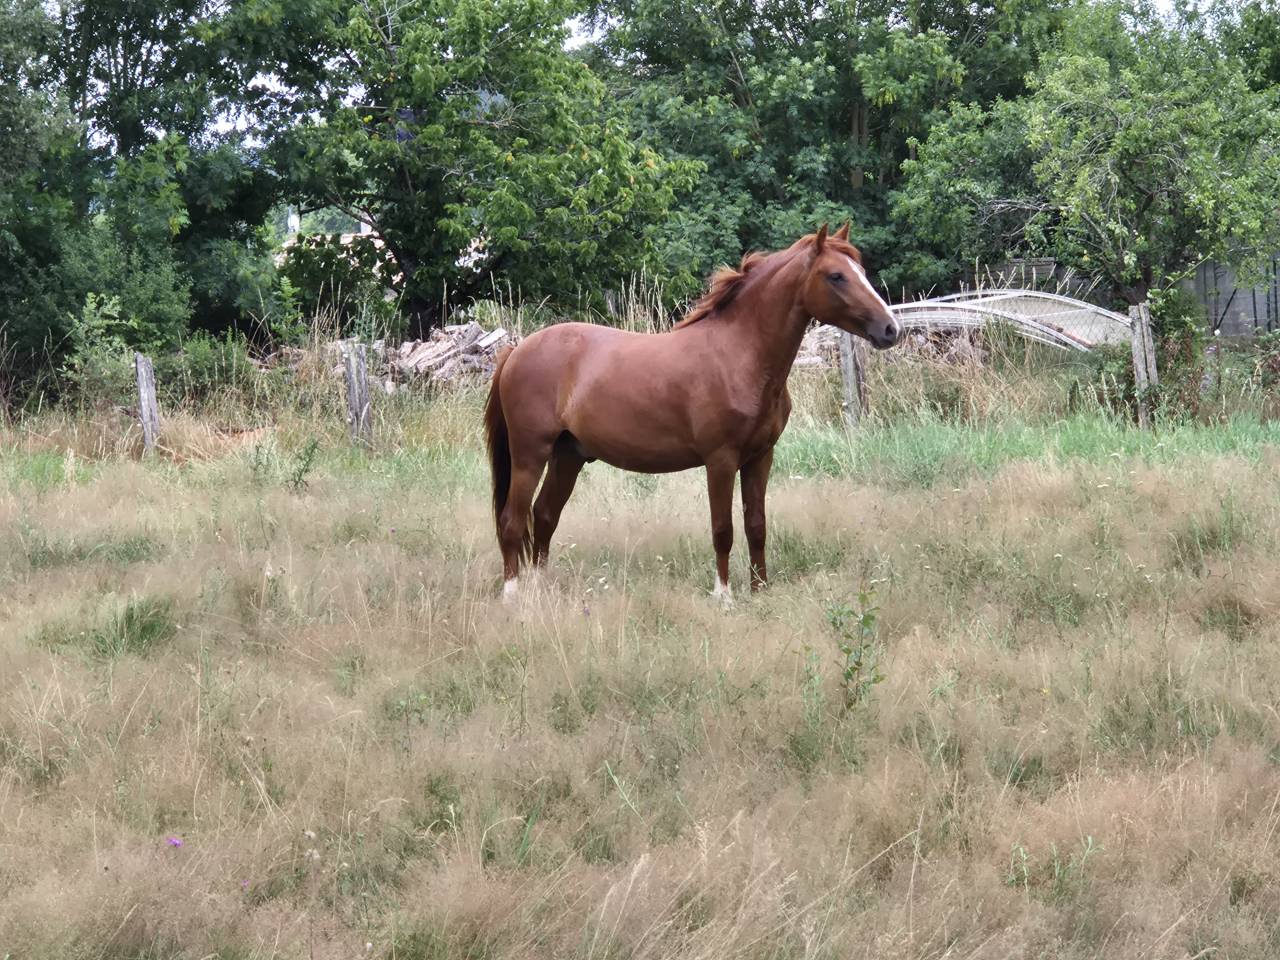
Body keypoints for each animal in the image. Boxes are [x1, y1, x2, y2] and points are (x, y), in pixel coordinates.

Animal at [484, 223, 901, 602]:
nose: (890, 329)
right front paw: (724, 596)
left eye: (861, 270)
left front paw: (761, 592)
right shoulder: (721, 460)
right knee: (512, 521)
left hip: (568, 455)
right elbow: (723, 530)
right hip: (530, 455)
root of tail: (517, 351)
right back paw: (513, 596)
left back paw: (541, 588)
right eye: (836, 276)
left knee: (544, 516)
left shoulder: (760, 458)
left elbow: (756, 526)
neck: (739, 356)